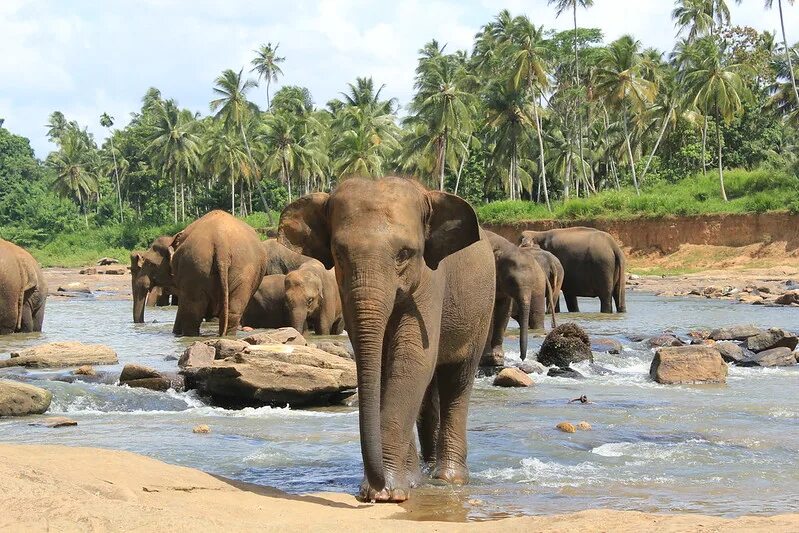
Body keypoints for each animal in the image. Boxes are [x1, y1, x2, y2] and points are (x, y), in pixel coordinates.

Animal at [278, 177, 496, 500]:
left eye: (404, 254)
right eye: (338, 253)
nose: (374, 485)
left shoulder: (430, 281)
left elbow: (412, 359)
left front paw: (387, 492)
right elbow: (382, 364)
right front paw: (398, 487)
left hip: (480, 311)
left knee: (457, 379)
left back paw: (449, 479)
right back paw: (424, 473)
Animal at [484, 229, 552, 362]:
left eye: (532, 283)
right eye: (511, 281)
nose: (521, 358)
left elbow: (504, 310)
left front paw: (497, 357)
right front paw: (490, 357)